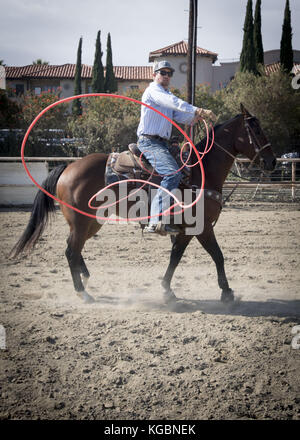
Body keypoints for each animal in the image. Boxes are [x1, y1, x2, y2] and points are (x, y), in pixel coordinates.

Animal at [9, 103, 276, 304]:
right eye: (257, 131)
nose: (272, 162)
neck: (201, 173)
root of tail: (68, 167)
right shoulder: (200, 228)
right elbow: (217, 256)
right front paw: (227, 293)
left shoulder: (185, 231)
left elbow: (176, 257)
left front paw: (168, 290)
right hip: (81, 221)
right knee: (70, 250)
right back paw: (83, 293)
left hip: (92, 222)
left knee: (73, 248)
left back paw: (85, 278)